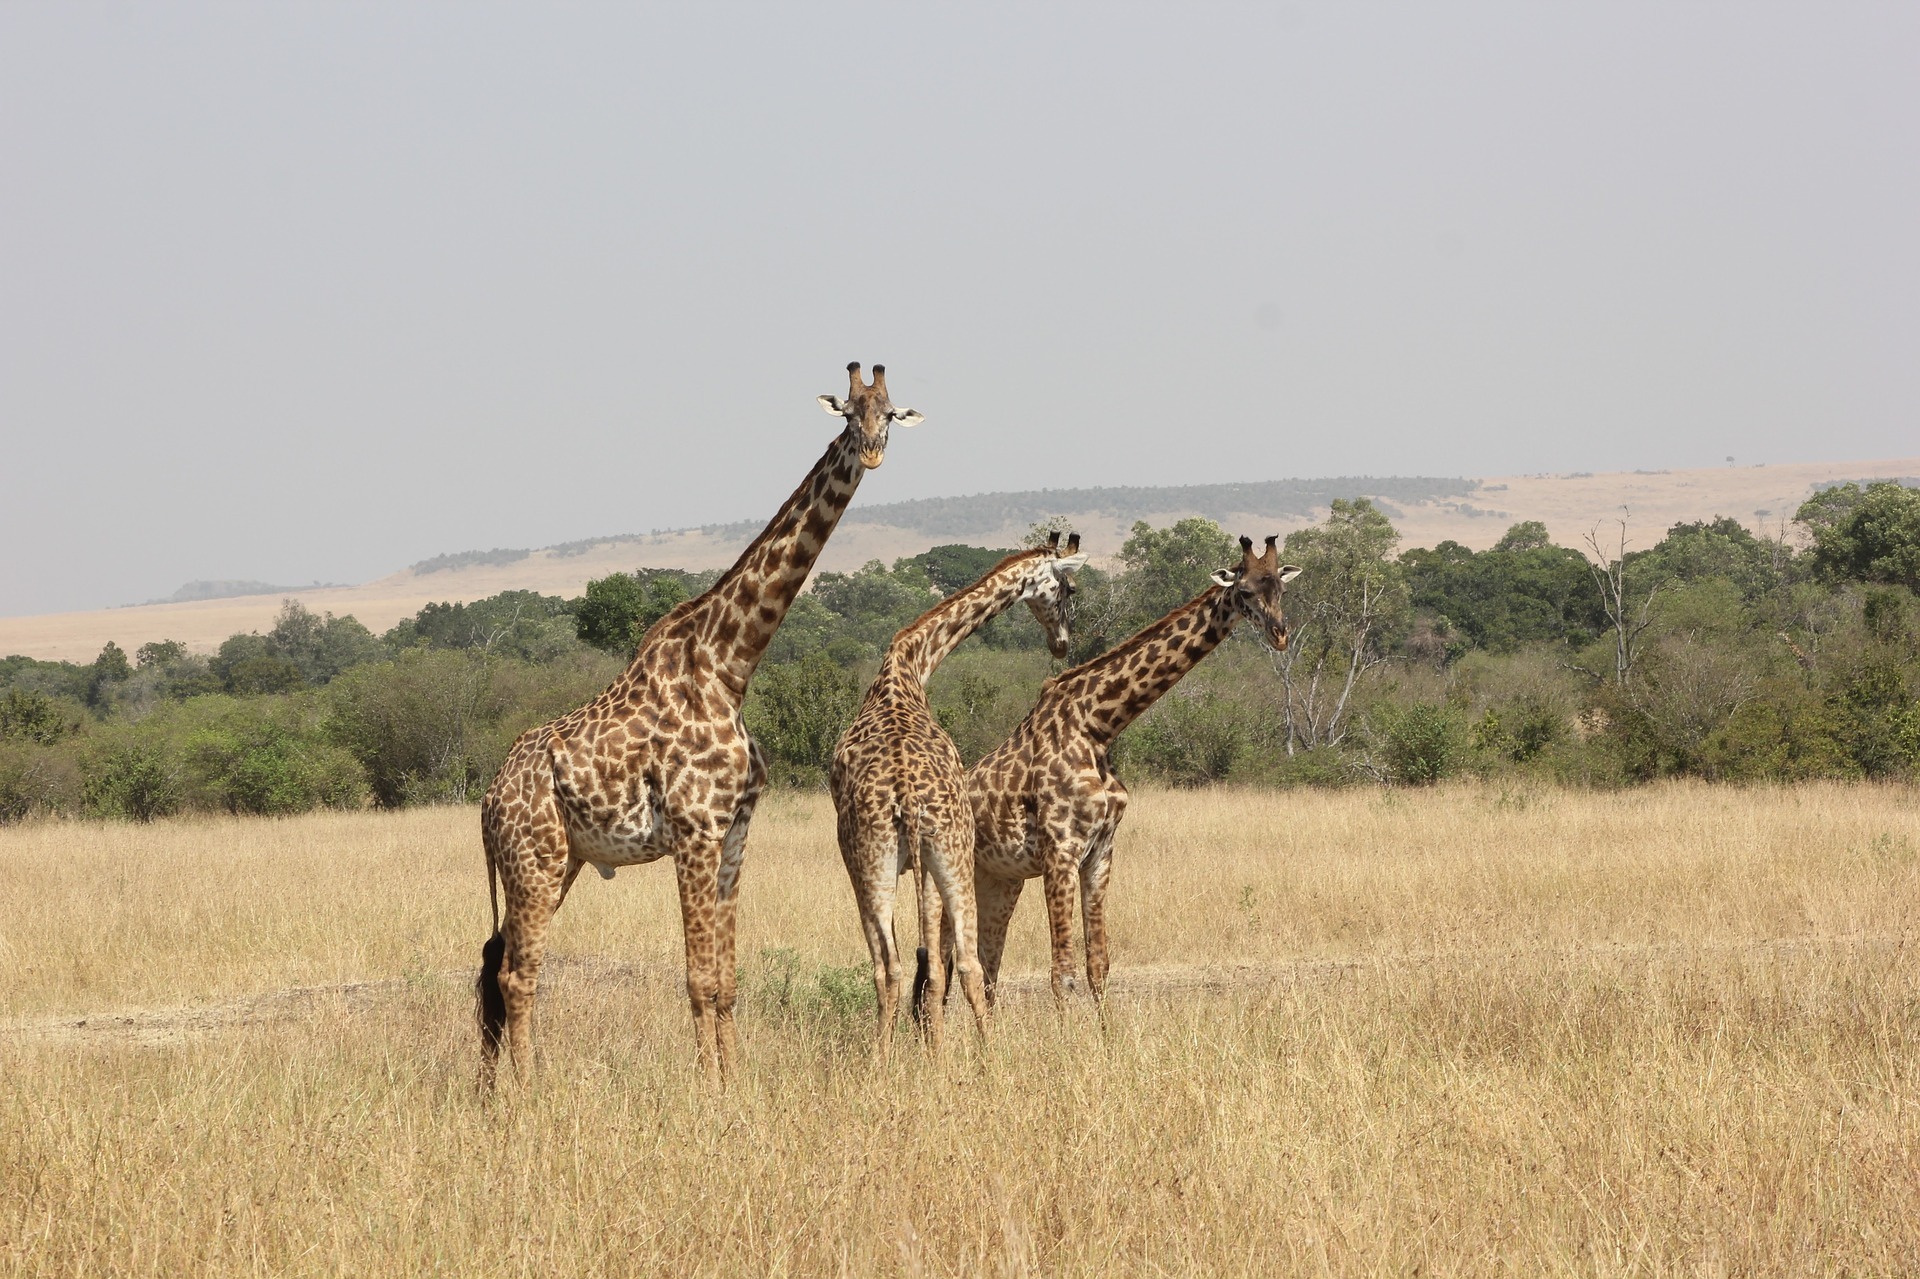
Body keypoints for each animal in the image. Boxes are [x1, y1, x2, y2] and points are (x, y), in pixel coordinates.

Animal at [483, 361, 925, 1083]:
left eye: (889, 414)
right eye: (846, 414)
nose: (871, 452)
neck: (729, 665)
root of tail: (489, 799)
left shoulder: (735, 831)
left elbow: (726, 980)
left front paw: (733, 1078)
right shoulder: (694, 830)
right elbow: (696, 978)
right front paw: (705, 1086)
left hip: (561, 860)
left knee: (507, 967)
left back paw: (502, 1083)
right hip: (533, 860)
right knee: (517, 974)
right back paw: (527, 1088)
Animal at [829, 533, 1090, 1052]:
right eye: (1068, 589)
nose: (1061, 644)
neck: (911, 662)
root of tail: (907, 798)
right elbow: (938, 963)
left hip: (882, 857)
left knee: (892, 967)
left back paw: (889, 1058)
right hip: (941, 853)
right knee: (960, 964)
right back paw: (980, 1058)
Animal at [933, 526, 1297, 1006]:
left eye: (1280, 589)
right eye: (1245, 590)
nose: (1280, 634)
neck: (1098, 726)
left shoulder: (1100, 851)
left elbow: (1098, 966)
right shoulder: (1061, 851)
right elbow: (1063, 973)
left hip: (999, 879)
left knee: (984, 968)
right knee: (935, 968)